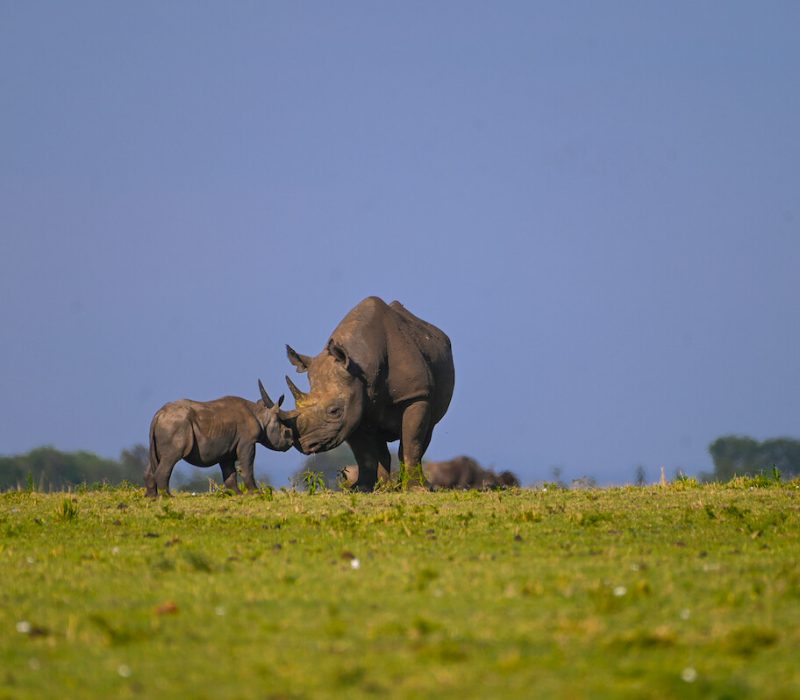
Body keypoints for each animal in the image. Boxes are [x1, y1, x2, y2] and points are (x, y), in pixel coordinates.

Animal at [144, 381, 293, 497]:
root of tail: (158, 414)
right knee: (171, 458)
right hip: (176, 425)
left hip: (167, 426)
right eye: (285, 431)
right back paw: (168, 497)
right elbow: (247, 466)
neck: (262, 417)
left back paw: (152, 497)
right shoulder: (247, 442)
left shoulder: (227, 448)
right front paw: (255, 493)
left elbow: (229, 472)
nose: (291, 442)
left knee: (156, 459)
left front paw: (237, 494)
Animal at [283, 296, 455, 490]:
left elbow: (411, 444)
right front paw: (361, 489)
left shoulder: (416, 395)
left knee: (426, 430)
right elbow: (364, 453)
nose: (306, 445)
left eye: (334, 411)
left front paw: (417, 489)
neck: (362, 362)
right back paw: (385, 487)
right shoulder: (354, 405)